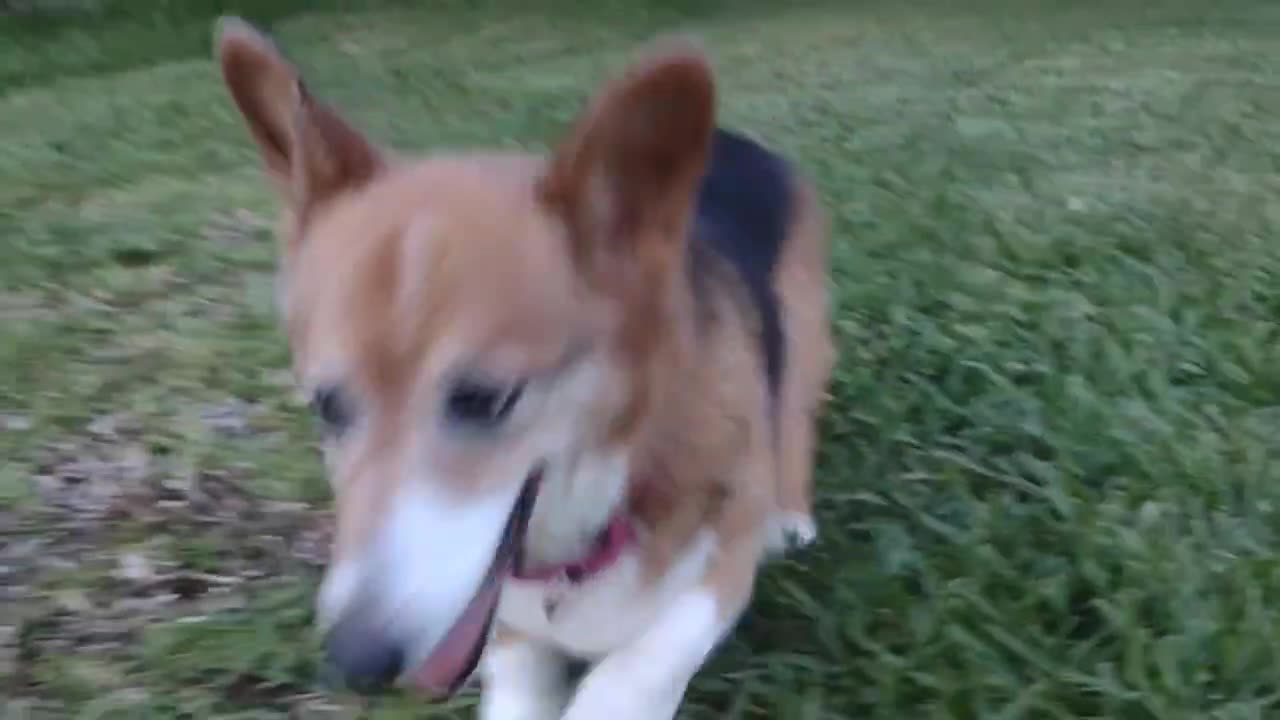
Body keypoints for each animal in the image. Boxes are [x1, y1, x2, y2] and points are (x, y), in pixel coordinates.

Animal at [217, 18, 839, 717]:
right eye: (329, 405)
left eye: (484, 399)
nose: (357, 663)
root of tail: (733, 142)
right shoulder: (506, 629)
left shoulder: (721, 561)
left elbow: (636, 666)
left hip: (803, 335)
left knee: (793, 415)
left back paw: (790, 517)